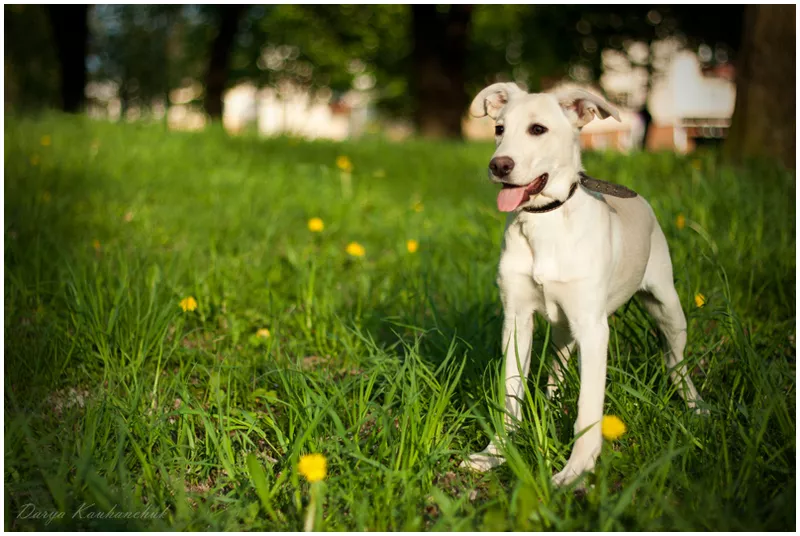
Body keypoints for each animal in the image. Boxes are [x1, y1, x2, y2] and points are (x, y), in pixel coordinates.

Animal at [462, 82, 700, 486]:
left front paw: (576, 471)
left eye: (537, 129)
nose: (499, 165)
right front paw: (495, 453)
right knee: (557, 368)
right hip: (564, 328)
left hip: (667, 306)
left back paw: (696, 405)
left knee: (675, 359)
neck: (546, 221)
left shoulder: (593, 328)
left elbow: (588, 408)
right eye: (498, 129)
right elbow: (510, 391)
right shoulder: (516, 320)